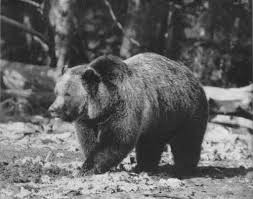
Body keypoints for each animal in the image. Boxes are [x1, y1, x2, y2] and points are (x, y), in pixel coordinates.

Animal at [48, 52, 209, 176]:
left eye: (67, 94)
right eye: (56, 92)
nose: (52, 109)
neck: (104, 105)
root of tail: (193, 76)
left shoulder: (125, 107)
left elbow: (117, 139)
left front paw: (88, 168)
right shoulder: (88, 120)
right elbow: (88, 140)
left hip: (185, 111)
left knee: (187, 141)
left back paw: (183, 168)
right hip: (158, 119)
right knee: (150, 143)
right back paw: (144, 166)